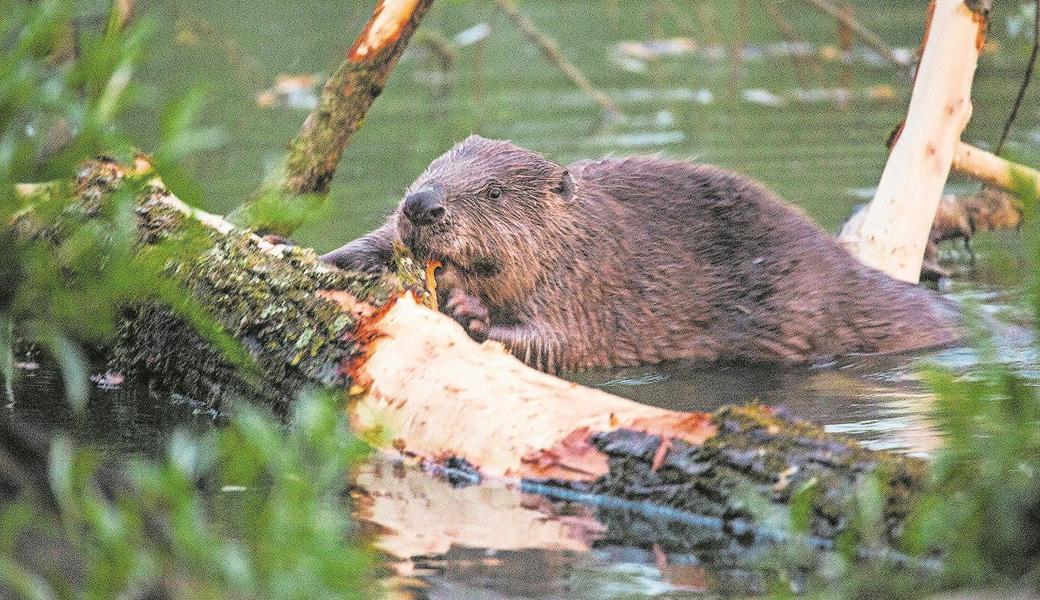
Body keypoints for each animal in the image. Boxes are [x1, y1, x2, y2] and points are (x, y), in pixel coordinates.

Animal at [322, 135, 956, 372]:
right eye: (428, 172)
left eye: (494, 192)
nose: (421, 204)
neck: (579, 233)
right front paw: (325, 256)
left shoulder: (587, 282)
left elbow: (564, 345)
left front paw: (467, 310)